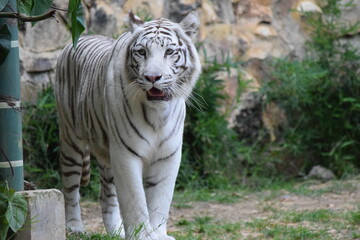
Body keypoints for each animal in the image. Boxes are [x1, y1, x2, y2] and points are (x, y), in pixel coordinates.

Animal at [54, 10, 201, 239]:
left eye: (169, 52)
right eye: (141, 52)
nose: (152, 77)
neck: (158, 114)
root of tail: (75, 41)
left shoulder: (168, 155)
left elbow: (161, 199)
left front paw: (158, 234)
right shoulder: (126, 154)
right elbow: (135, 200)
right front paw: (143, 235)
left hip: (107, 153)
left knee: (107, 197)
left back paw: (116, 232)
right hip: (72, 141)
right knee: (70, 188)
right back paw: (75, 227)